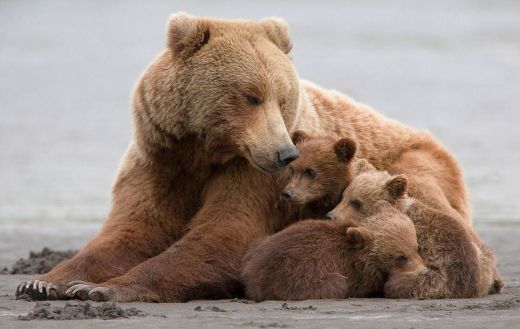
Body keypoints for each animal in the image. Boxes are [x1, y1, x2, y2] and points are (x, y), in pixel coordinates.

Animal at [242, 200, 424, 300]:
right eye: (400, 256)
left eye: (416, 247)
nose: (424, 271)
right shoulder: (354, 271)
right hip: (295, 276)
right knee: (335, 284)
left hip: (259, 244)